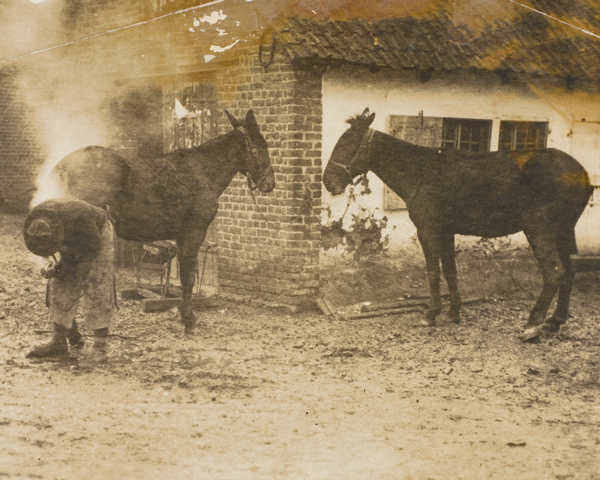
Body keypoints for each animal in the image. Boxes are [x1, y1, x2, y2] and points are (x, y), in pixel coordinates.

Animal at [50, 109, 276, 334]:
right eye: (263, 146)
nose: (270, 183)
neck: (203, 171)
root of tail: (63, 166)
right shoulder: (194, 234)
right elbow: (188, 278)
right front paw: (188, 319)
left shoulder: (181, 237)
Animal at [324, 109, 592, 342]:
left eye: (348, 141)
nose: (328, 181)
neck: (421, 171)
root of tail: (582, 174)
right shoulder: (446, 232)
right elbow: (450, 271)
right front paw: (453, 313)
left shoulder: (428, 230)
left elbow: (433, 271)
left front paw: (430, 314)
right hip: (562, 232)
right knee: (569, 272)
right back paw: (555, 321)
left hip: (539, 231)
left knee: (554, 272)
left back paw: (533, 325)